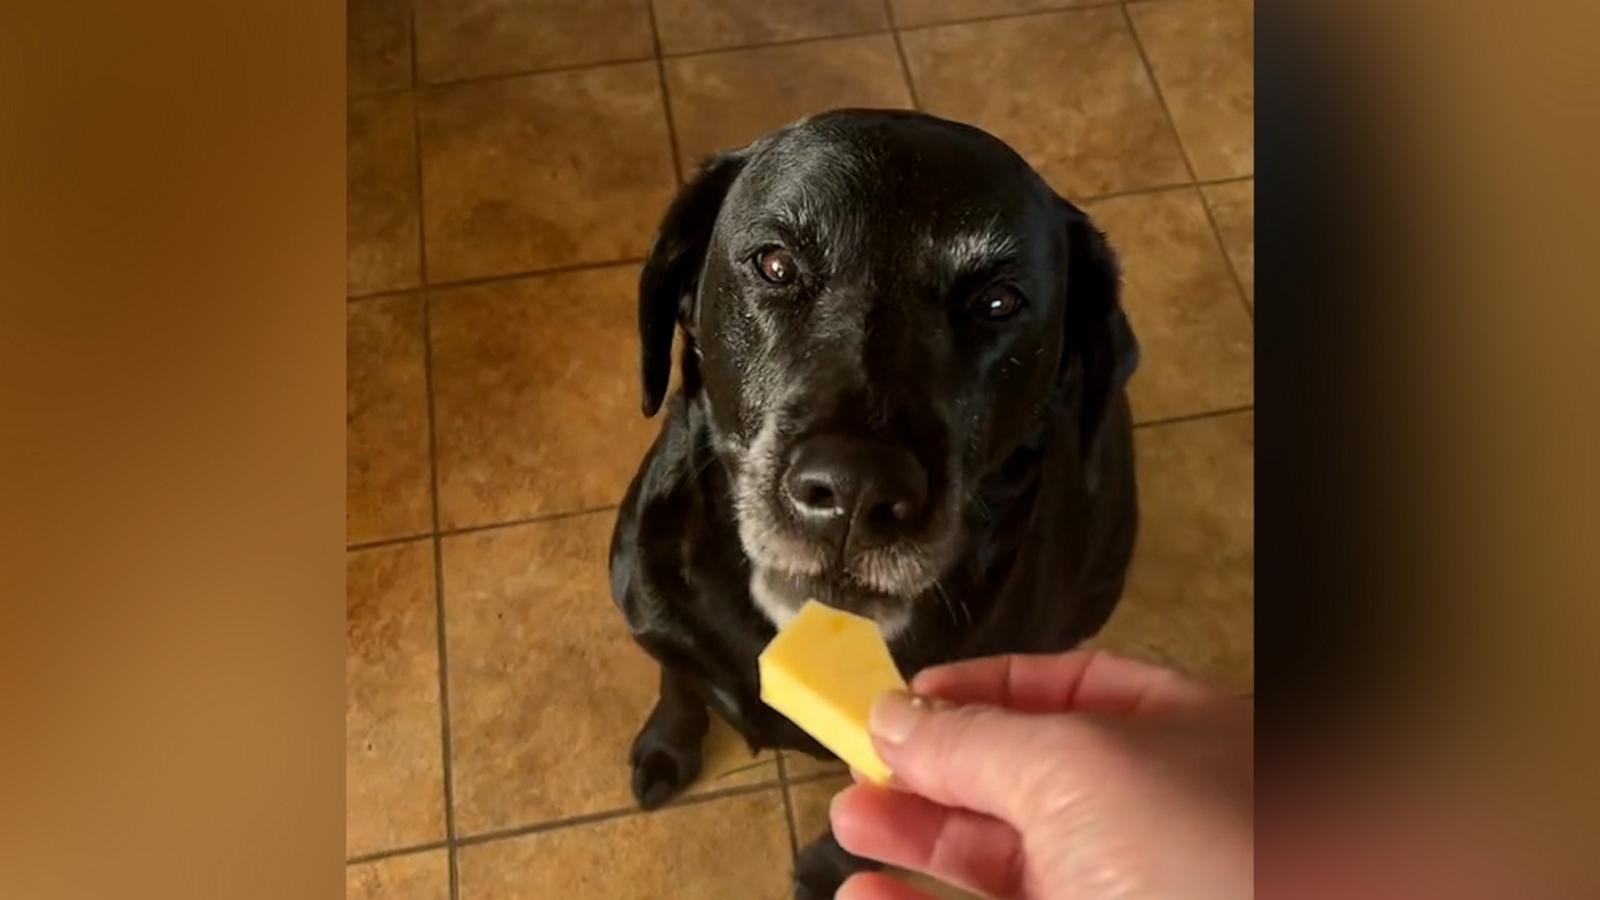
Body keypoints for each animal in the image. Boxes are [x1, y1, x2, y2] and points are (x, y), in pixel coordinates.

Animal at [604, 108, 1145, 890]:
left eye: (998, 301)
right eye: (775, 264)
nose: (856, 489)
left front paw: (827, 869)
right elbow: (678, 680)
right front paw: (666, 746)